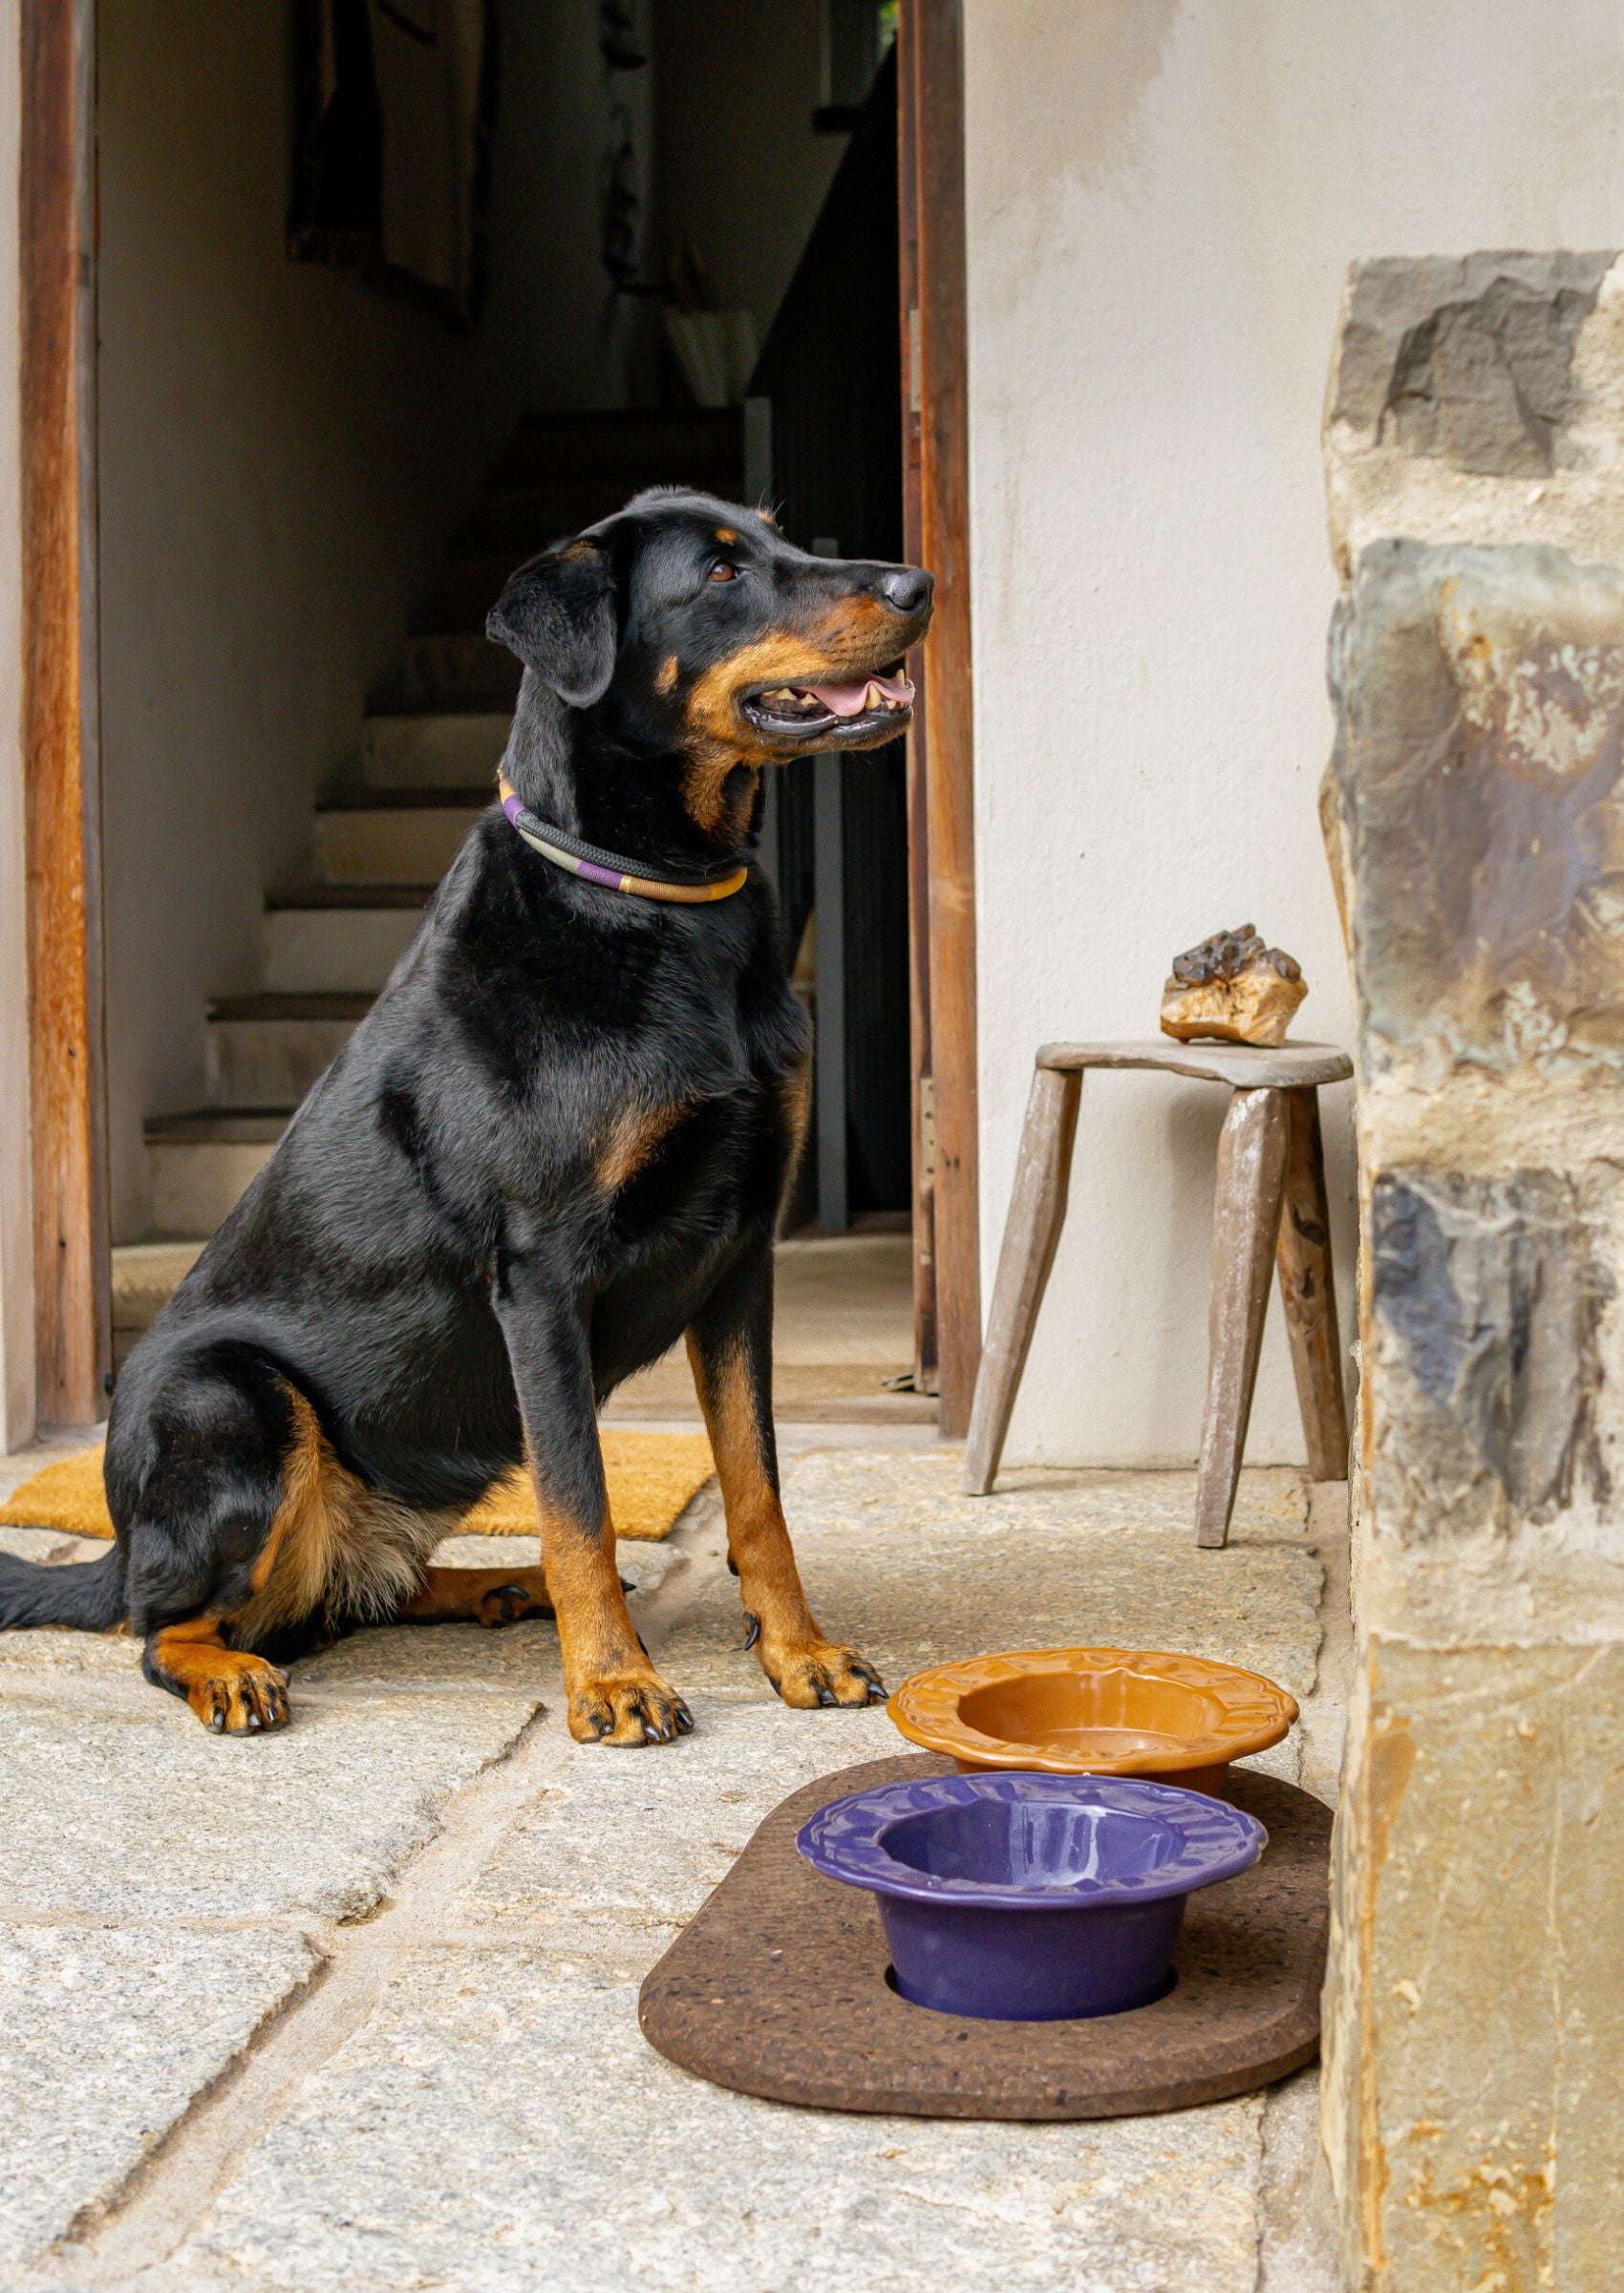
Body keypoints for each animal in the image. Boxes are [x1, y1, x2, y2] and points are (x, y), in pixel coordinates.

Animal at [0, 483, 930, 1733]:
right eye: (722, 573)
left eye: (781, 532)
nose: (918, 586)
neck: (658, 900)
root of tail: (121, 1542)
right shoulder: (541, 1275)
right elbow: (583, 1503)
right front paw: (615, 1680)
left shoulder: (741, 1263)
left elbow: (757, 1490)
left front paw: (797, 1651)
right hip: (230, 1401)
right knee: (169, 1628)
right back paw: (231, 1670)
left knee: (354, 1594)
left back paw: (494, 1586)